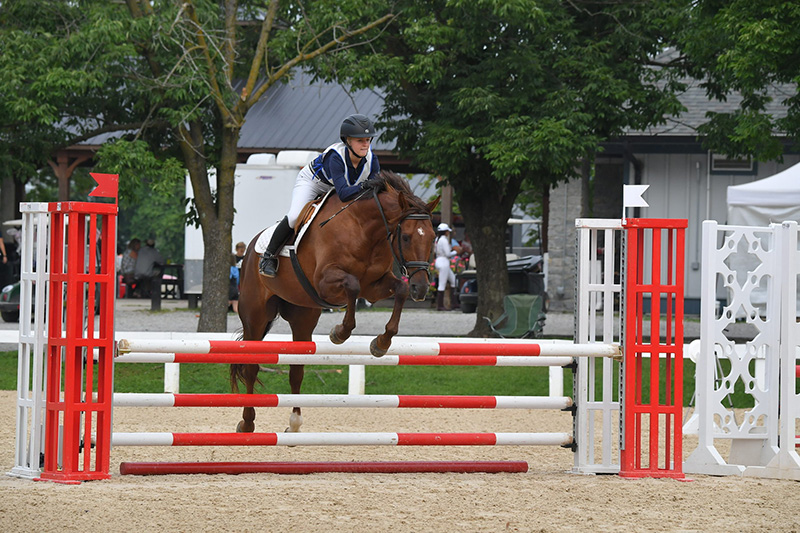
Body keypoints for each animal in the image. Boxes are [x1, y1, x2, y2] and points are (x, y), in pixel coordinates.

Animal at [231, 175, 438, 432]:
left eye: (432, 237)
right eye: (406, 237)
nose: (421, 288)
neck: (368, 230)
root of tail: (249, 250)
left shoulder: (374, 286)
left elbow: (399, 289)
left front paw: (381, 342)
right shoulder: (325, 281)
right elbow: (352, 285)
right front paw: (339, 332)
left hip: (302, 317)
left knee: (296, 370)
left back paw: (295, 423)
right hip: (255, 316)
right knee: (251, 366)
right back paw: (247, 422)